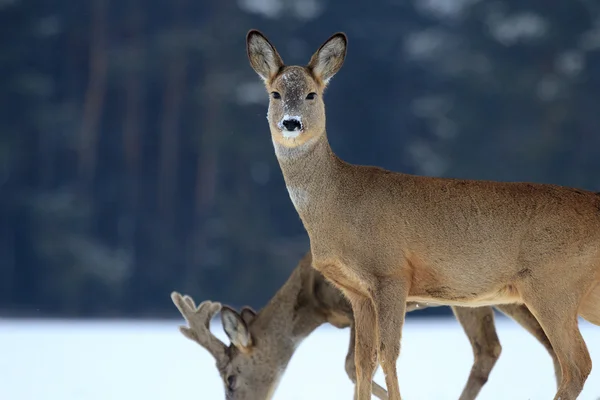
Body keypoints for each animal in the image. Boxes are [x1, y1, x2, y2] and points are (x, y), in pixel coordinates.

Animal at [245, 28, 600, 400]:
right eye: (275, 93)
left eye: (312, 94)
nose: (291, 123)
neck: (338, 205)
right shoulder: (357, 292)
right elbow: (362, 361)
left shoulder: (391, 274)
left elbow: (388, 353)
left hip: (552, 286)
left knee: (577, 363)